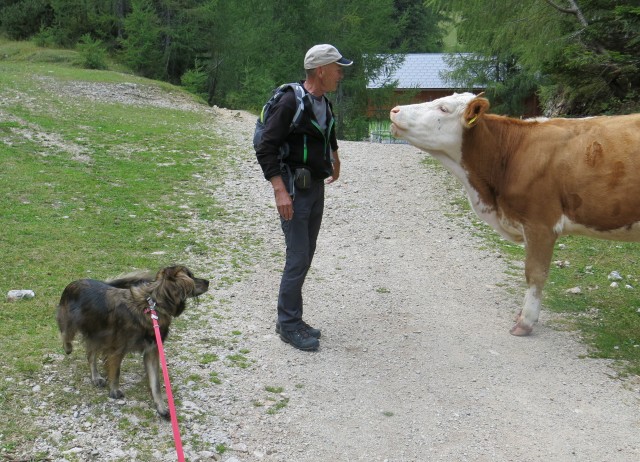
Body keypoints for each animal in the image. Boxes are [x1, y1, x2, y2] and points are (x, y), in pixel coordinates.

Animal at [56, 264, 209, 418]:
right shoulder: (117, 350)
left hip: (96, 334)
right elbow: (115, 372)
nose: (208, 282)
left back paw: (96, 377)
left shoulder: (151, 351)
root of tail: (77, 282)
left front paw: (161, 406)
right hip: (72, 324)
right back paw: (68, 348)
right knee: (65, 335)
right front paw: (114, 391)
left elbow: (155, 383)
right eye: (191, 276)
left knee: (90, 355)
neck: (153, 305)